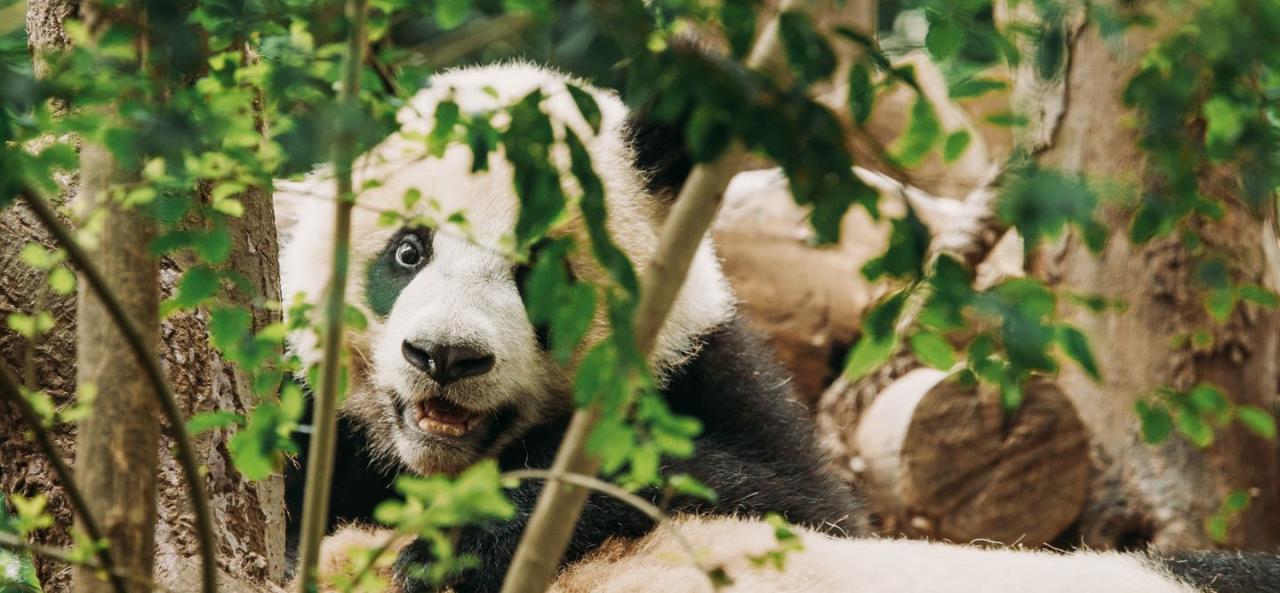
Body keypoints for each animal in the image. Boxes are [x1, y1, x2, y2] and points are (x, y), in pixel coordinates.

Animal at [277, 63, 1280, 593]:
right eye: (408, 249)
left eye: (543, 273)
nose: (444, 357)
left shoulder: (709, 378)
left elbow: (772, 494)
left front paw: (453, 546)